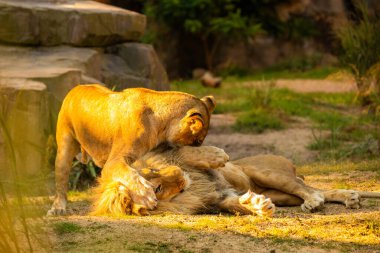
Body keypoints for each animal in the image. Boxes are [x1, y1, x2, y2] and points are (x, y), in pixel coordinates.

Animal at [46, 84, 217, 215]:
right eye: (197, 140)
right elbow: (131, 174)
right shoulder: (114, 161)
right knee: (61, 182)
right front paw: (146, 195)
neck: (160, 125)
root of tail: (76, 88)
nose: (199, 145)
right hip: (64, 147)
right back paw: (58, 208)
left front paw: (215, 157)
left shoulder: (158, 149)